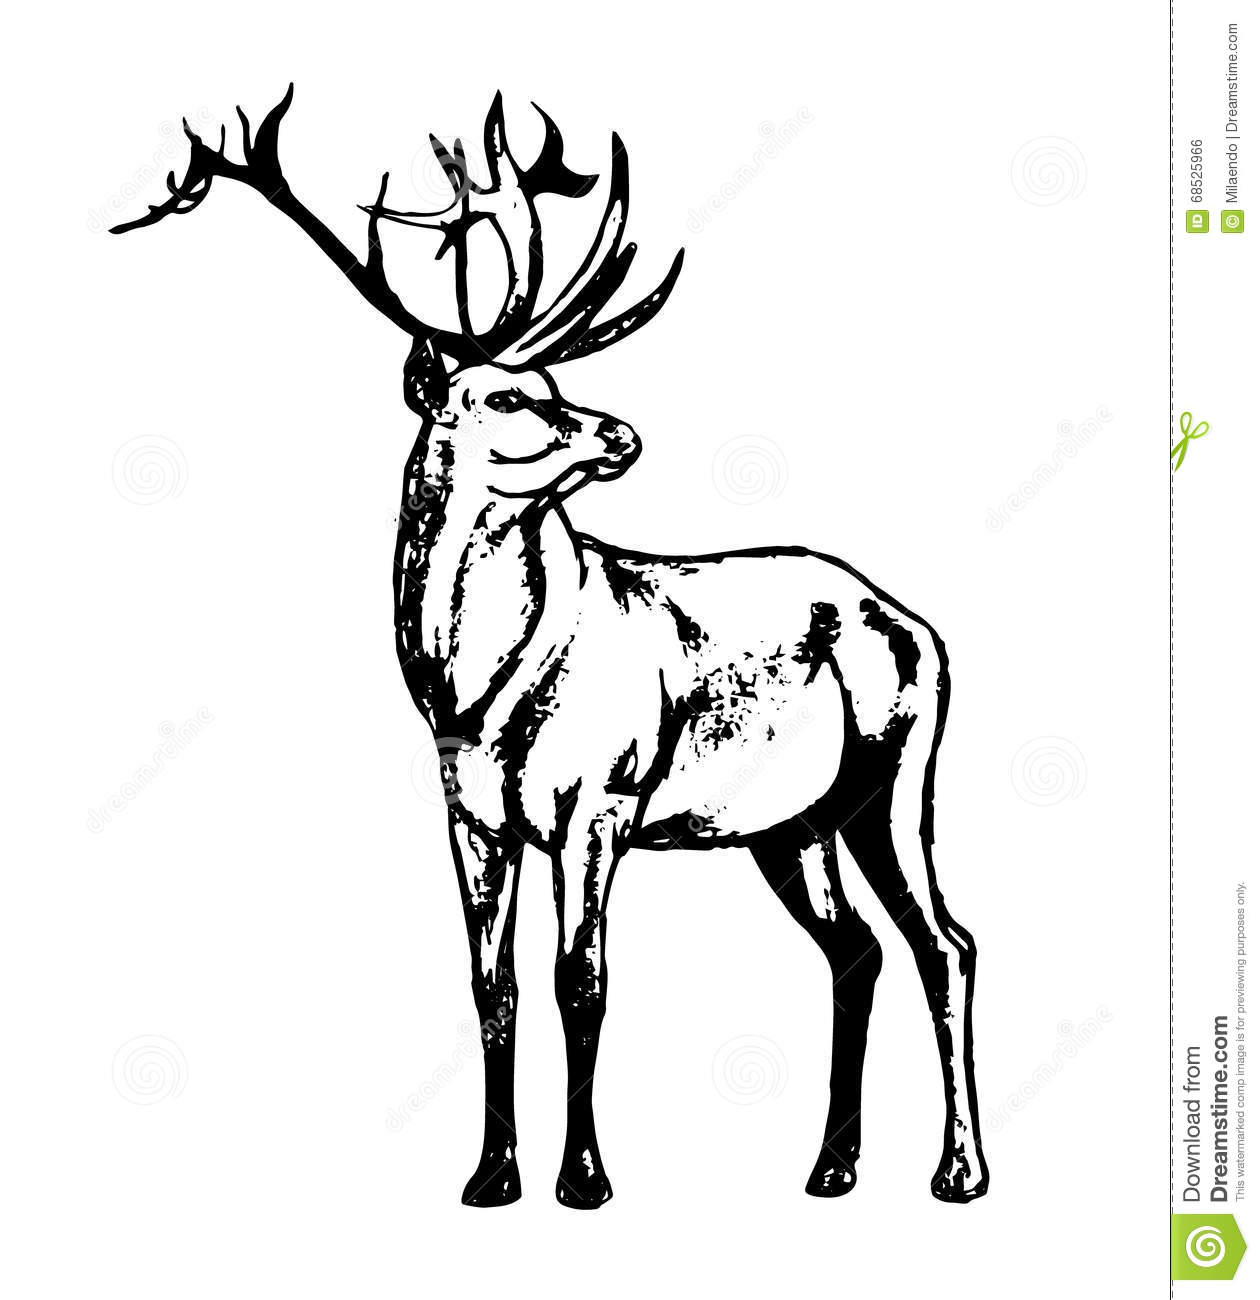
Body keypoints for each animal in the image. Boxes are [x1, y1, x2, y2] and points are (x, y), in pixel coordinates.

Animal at [112, 85, 989, 1210]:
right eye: (509, 394)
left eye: (556, 383)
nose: (622, 433)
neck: (468, 691)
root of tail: (918, 625)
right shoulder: (472, 814)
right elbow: (494, 982)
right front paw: (490, 1177)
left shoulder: (601, 799)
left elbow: (585, 980)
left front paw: (585, 1179)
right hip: (789, 825)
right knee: (857, 949)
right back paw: (832, 1167)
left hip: (895, 777)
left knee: (946, 941)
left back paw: (957, 1171)